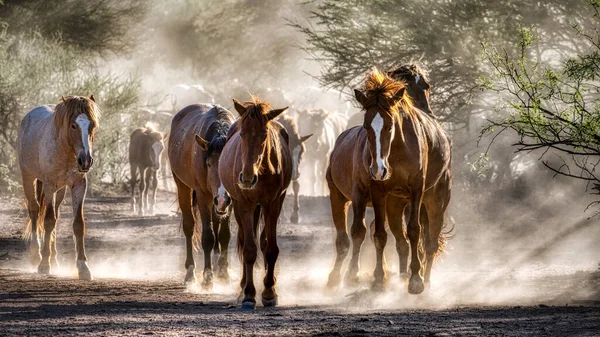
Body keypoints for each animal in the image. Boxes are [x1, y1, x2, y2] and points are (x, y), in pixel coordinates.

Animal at [17, 94, 100, 278]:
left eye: (92, 125)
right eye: (73, 125)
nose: (86, 161)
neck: (68, 152)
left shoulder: (79, 185)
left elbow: (78, 224)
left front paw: (83, 266)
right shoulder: (49, 186)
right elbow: (48, 221)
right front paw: (43, 264)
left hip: (60, 190)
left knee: (55, 213)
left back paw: (54, 259)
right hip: (28, 178)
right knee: (34, 210)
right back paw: (36, 254)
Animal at [170, 103, 236, 288]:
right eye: (209, 164)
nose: (222, 198)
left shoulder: (231, 200)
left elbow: (224, 235)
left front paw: (224, 273)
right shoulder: (204, 196)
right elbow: (207, 237)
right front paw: (207, 277)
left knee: (216, 222)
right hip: (183, 186)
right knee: (189, 226)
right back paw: (191, 272)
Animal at [219, 96, 292, 308]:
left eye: (264, 135)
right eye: (242, 134)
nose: (247, 178)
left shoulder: (273, 204)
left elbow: (271, 248)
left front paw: (269, 292)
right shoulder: (244, 204)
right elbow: (249, 249)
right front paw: (249, 295)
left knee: (264, 241)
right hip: (238, 205)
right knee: (245, 240)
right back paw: (242, 287)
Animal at [326, 69, 452, 294]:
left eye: (390, 125)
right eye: (366, 126)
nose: (378, 169)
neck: (398, 151)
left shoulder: (417, 190)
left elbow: (414, 230)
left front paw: (416, 280)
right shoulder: (377, 191)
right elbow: (378, 234)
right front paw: (377, 279)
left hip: (436, 202)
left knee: (430, 242)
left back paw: (425, 280)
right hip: (377, 203)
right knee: (386, 239)